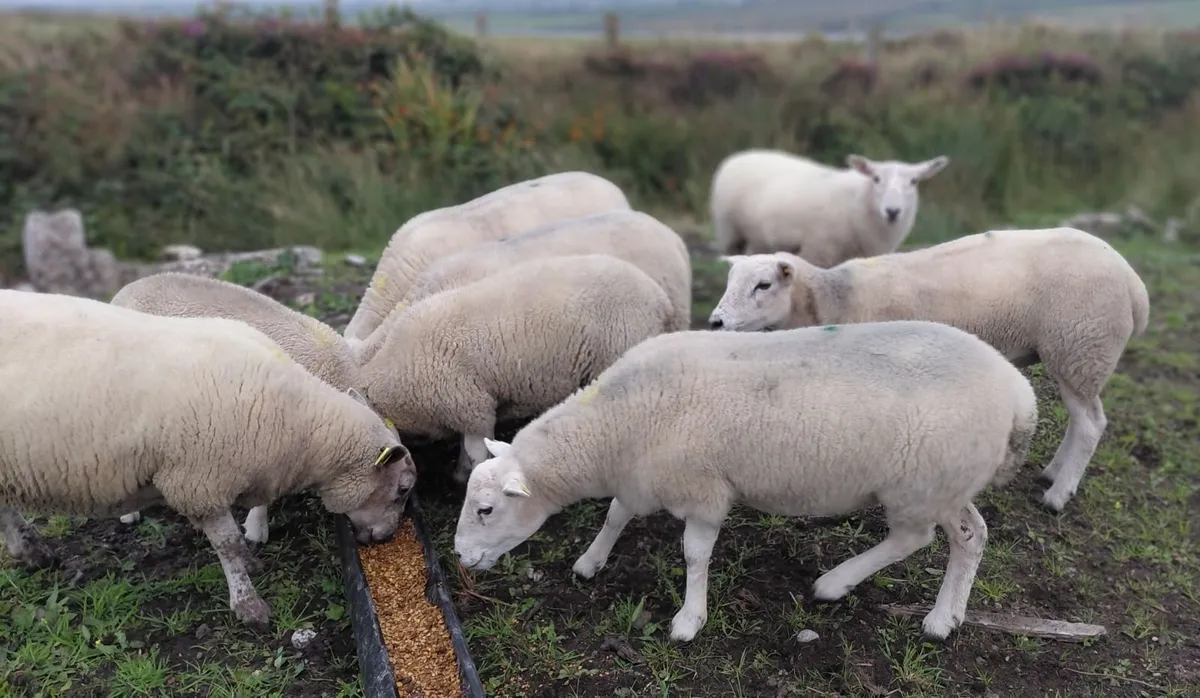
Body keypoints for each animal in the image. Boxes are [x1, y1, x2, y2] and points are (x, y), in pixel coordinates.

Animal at [356, 254, 674, 484]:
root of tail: (660, 298)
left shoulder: (472, 405)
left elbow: (476, 451)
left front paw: (468, 477)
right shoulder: (461, 410)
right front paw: (459, 472)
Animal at [453, 320, 1038, 643]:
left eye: (486, 509)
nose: (459, 558)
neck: (614, 426)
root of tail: (1020, 394)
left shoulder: (703, 491)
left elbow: (694, 555)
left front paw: (689, 620)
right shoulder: (644, 476)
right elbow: (617, 513)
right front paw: (591, 562)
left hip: (921, 484)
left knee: (914, 538)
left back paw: (841, 585)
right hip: (949, 483)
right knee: (972, 535)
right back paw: (948, 616)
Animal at [707, 226, 1151, 512]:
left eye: (763, 285)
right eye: (729, 281)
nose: (716, 322)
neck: (831, 301)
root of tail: (1134, 283)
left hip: (1081, 344)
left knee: (1091, 423)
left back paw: (1058, 495)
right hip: (1077, 353)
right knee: (1082, 420)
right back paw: (1052, 473)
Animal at [709, 148, 950, 266]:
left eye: (914, 181)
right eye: (876, 178)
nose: (892, 211)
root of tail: (737, 157)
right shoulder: (819, 251)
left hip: (759, 239)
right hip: (730, 231)